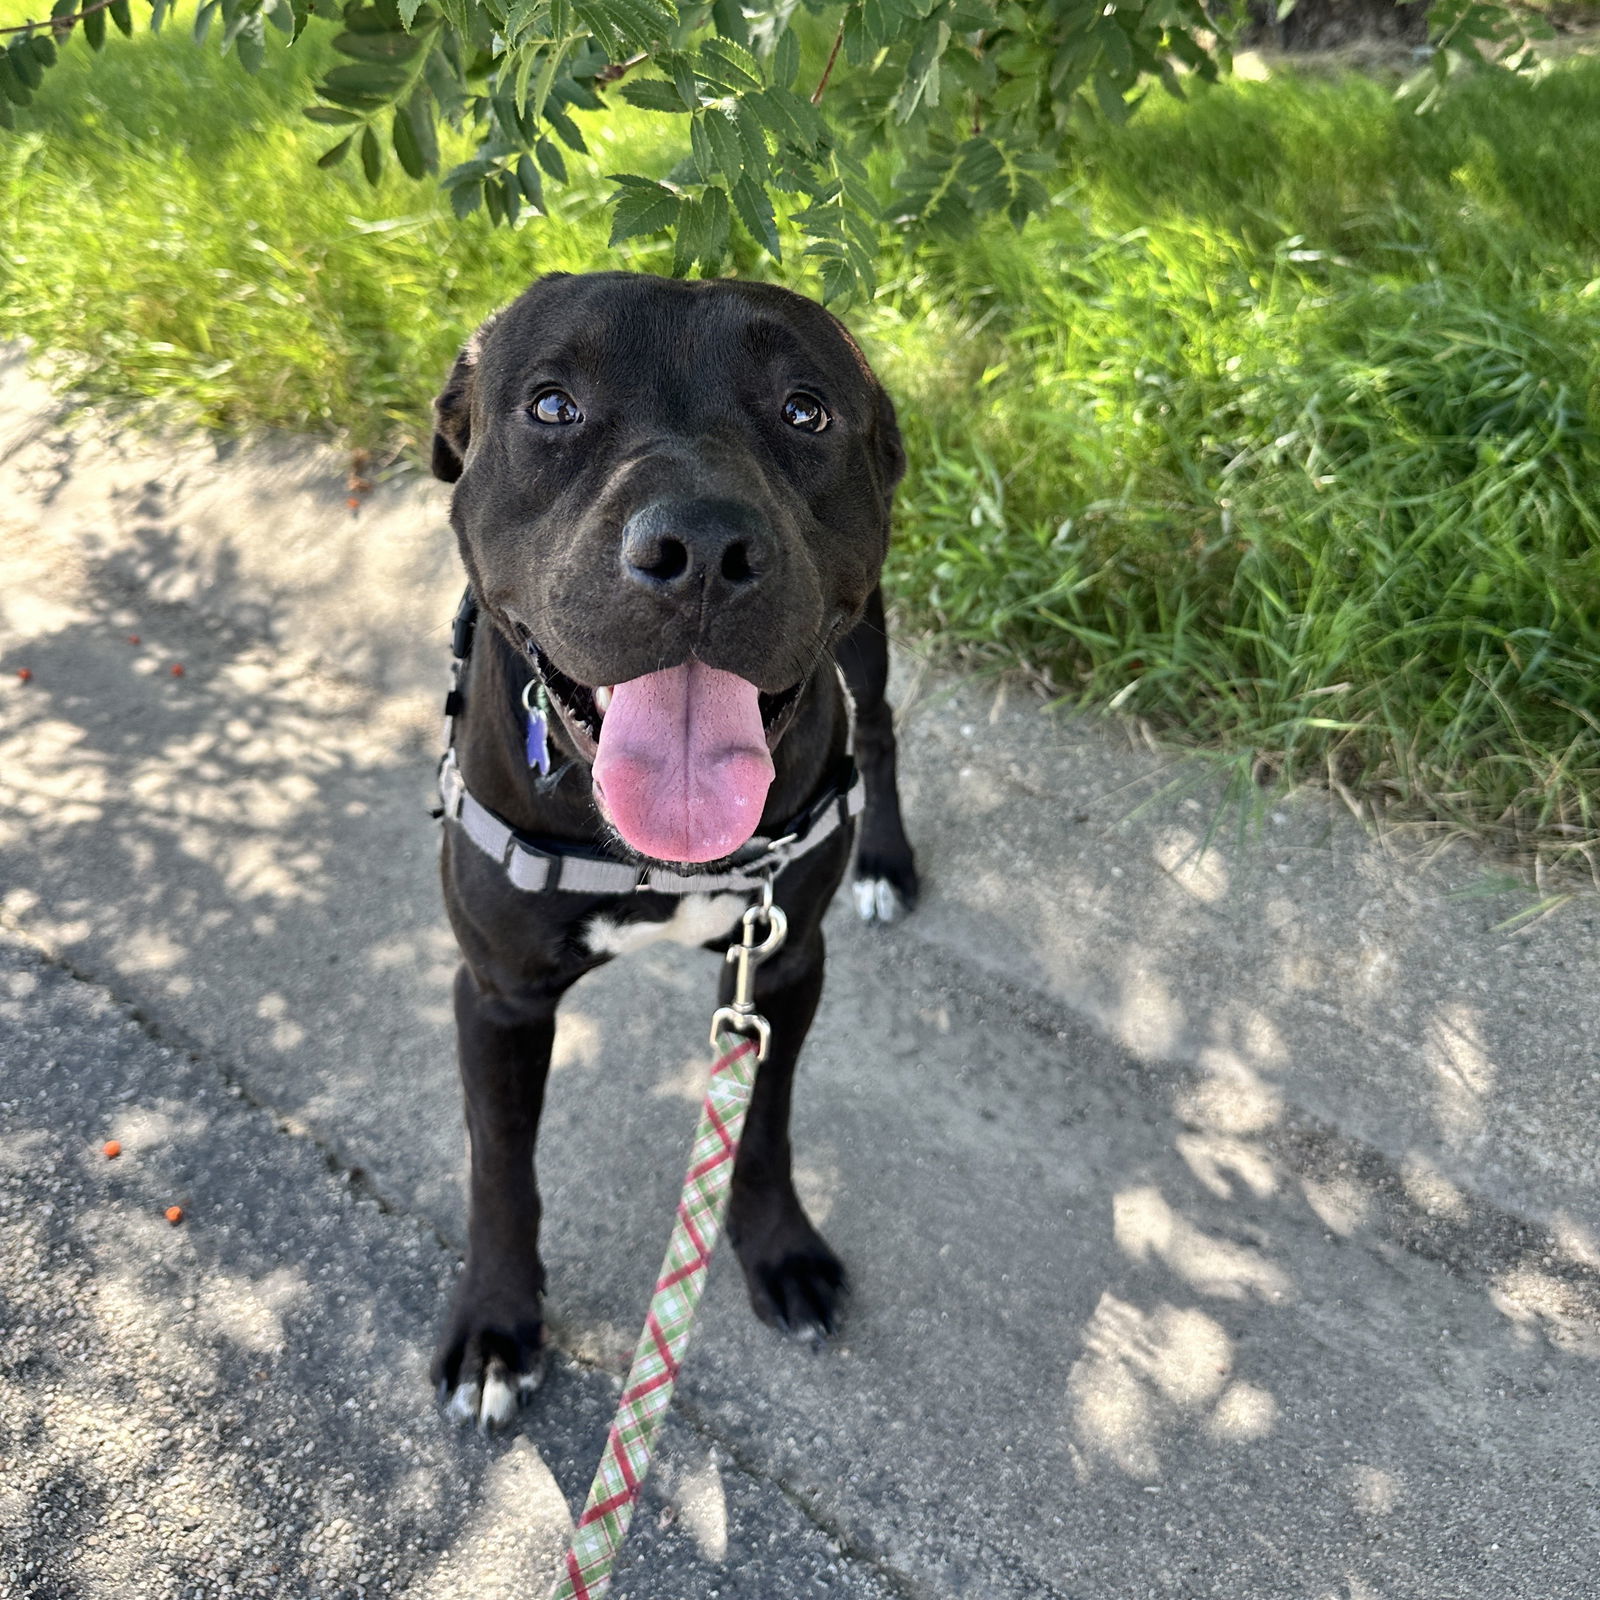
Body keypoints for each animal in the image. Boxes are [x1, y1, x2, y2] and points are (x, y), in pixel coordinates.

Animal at [428, 272, 915, 1427]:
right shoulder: (497, 993)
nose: (700, 549)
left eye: (804, 410)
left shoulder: (781, 962)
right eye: (551, 406)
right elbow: (500, 1166)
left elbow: (764, 1125)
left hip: (867, 634)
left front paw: (777, 1249)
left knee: (879, 725)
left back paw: (889, 860)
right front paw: (496, 1324)